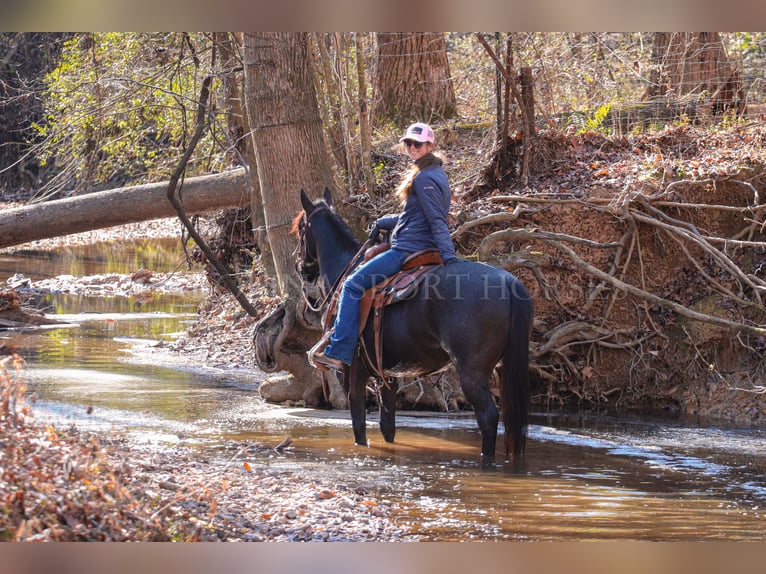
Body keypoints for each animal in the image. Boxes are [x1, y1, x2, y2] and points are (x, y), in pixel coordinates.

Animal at [294, 191, 536, 466]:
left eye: (300, 229)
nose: (300, 267)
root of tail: (509, 281)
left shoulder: (352, 374)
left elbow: (359, 429)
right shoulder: (388, 377)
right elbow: (388, 427)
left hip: (471, 373)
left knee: (488, 417)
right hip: (504, 369)